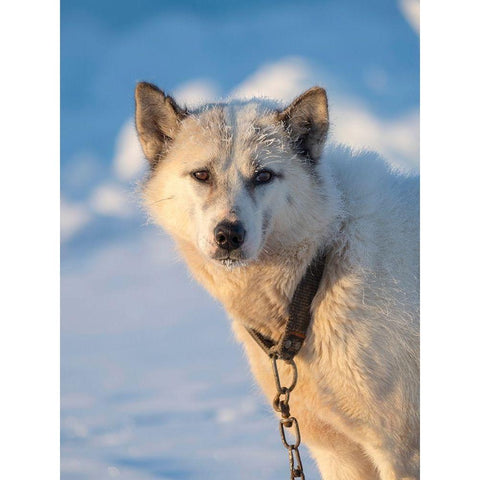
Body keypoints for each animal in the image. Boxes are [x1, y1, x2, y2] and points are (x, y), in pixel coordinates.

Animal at [136, 83, 420, 480]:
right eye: (202, 175)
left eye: (263, 176)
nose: (229, 235)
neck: (318, 272)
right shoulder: (338, 453)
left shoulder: (402, 453)